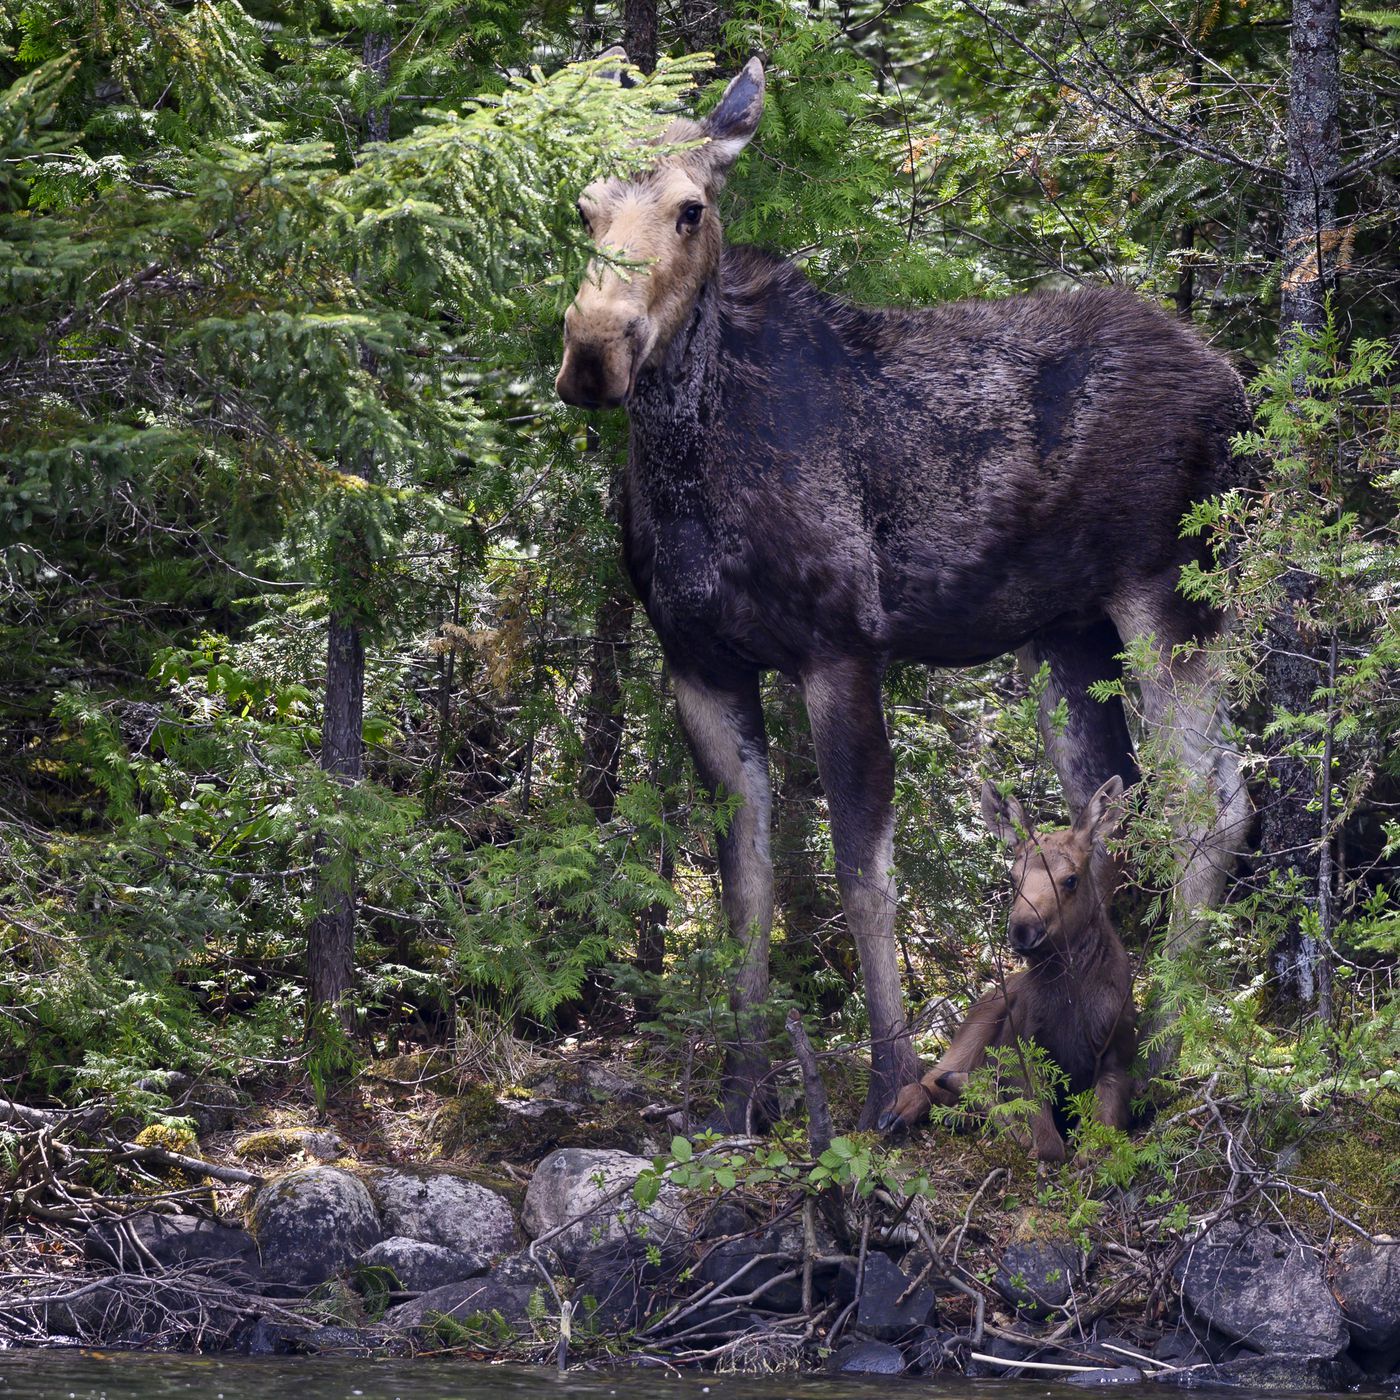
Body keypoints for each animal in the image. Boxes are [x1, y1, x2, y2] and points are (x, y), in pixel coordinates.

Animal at [879, 778, 1142, 1159]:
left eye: (1072, 879)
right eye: (1013, 877)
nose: (1022, 930)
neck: (1071, 1004)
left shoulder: (1119, 1055)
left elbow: (1099, 1144)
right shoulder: (1021, 1047)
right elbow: (1048, 1145)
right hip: (983, 1015)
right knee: (934, 1075)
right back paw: (903, 1112)